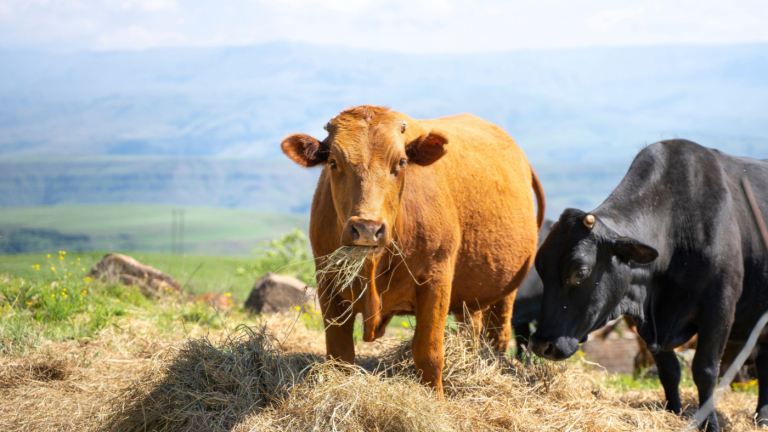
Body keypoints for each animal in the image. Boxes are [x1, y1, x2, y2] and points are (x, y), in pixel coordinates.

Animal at [280, 105, 544, 394]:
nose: (368, 228)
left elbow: (429, 354)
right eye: (333, 162)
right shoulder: (328, 282)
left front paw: (436, 402)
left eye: (401, 163)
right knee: (472, 330)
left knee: (498, 336)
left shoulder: (437, 281)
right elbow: (340, 355)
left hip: (506, 292)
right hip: (470, 299)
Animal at [532, 140, 768, 430]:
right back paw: (762, 416)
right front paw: (673, 412)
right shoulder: (644, 317)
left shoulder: (719, 309)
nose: (541, 344)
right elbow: (669, 371)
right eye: (540, 269)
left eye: (581, 271)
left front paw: (710, 424)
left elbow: (705, 370)